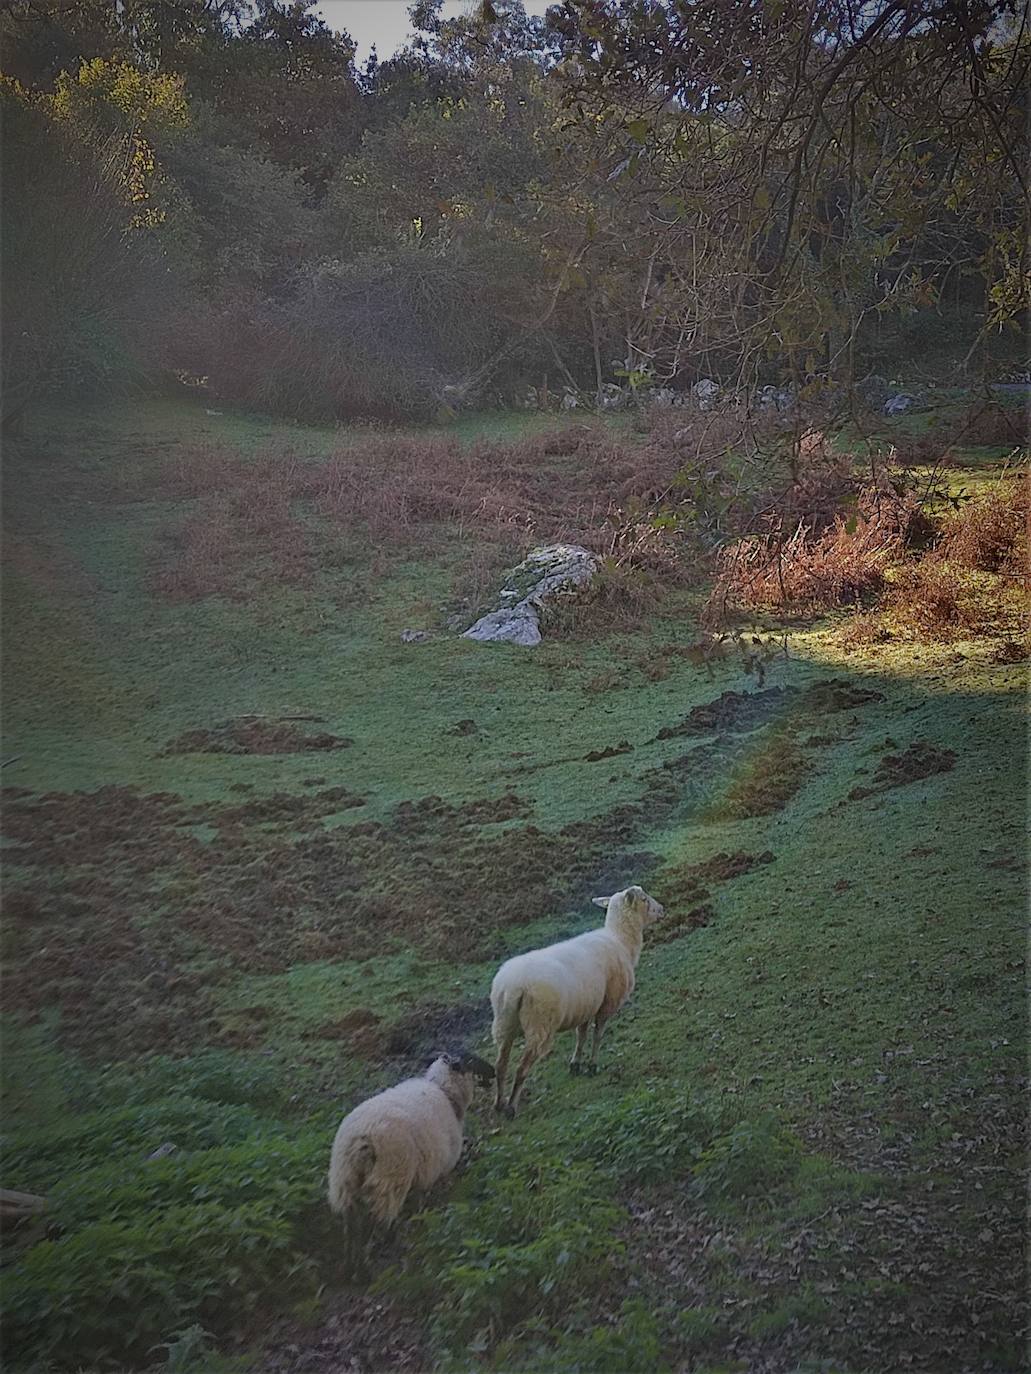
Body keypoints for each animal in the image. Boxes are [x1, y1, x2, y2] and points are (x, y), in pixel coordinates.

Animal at [328, 1055, 494, 1269]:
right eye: (471, 1061)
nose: (494, 1072)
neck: (445, 1091)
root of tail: (363, 1138)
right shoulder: (433, 1168)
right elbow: (425, 1197)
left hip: (344, 1182)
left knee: (351, 1226)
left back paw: (350, 1265)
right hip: (390, 1180)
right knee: (376, 1221)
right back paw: (375, 1256)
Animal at [489, 890, 665, 1115]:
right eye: (644, 899)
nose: (662, 910)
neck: (620, 939)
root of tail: (512, 986)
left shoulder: (587, 1006)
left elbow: (581, 1036)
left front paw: (575, 1064)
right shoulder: (607, 1003)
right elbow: (598, 1035)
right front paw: (592, 1066)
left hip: (504, 1025)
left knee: (500, 1065)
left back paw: (499, 1103)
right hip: (540, 1025)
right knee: (521, 1068)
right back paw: (511, 1107)